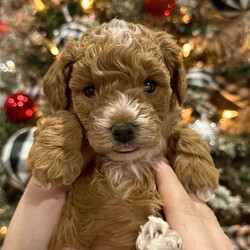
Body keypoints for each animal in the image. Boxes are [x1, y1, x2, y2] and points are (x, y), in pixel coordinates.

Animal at [27, 19, 219, 248]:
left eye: (150, 85)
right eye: (89, 91)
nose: (123, 130)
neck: (128, 163)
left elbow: (184, 131)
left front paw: (199, 171)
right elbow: (64, 117)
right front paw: (52, 161)